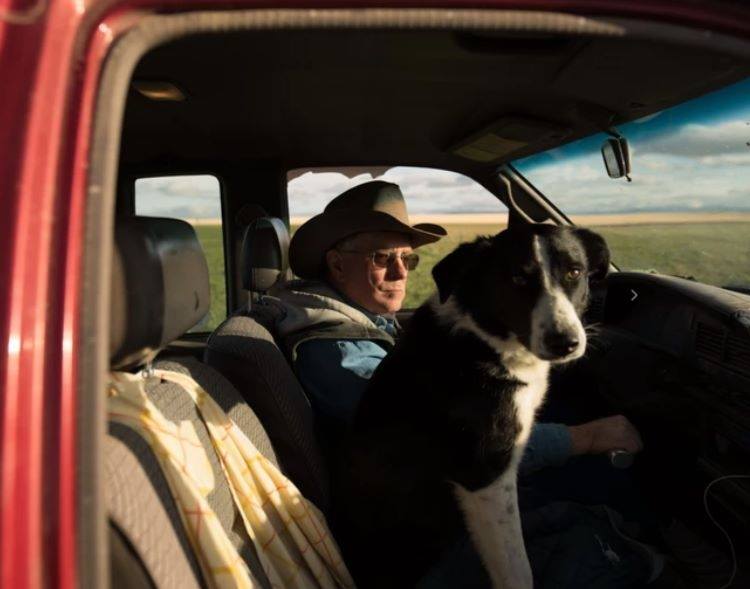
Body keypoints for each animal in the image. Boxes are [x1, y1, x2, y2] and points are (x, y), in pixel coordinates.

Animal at [334, 224, 612, 588]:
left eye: (574, 272)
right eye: (517, 278)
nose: (565, 343)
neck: (485, 339)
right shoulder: (486, 478)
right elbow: (516, 567)